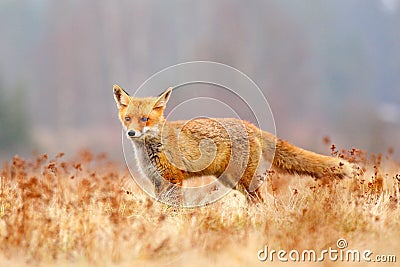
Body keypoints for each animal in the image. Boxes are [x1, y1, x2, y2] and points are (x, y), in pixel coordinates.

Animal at [113, 85, 360, 204]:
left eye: (145, 119)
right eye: (128, 118)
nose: (132, 133)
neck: (152, 150)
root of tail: (251, 125)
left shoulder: (174, 179)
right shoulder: (157, 183)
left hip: (243, 180)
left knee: (261, 202)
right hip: (232, 181)